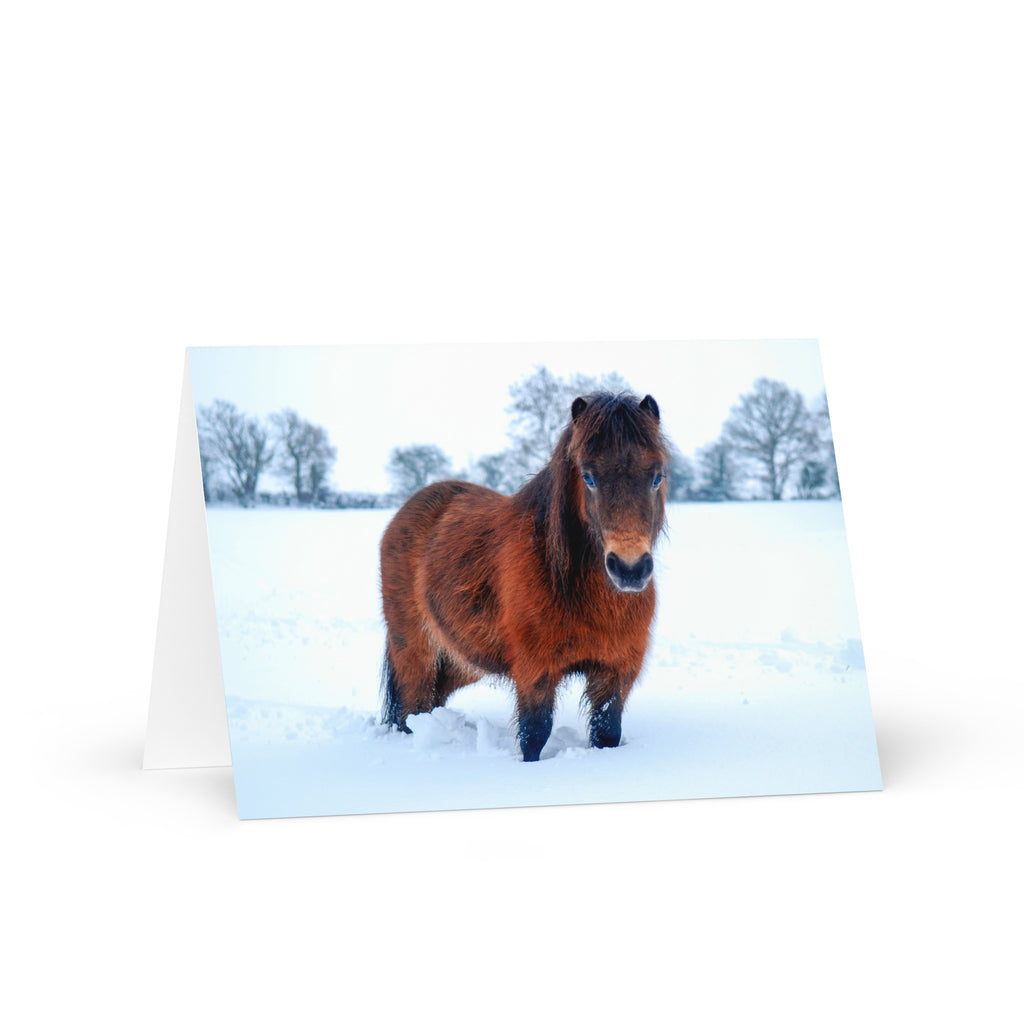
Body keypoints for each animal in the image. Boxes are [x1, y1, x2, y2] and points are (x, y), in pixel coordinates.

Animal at [379, 391, 669, 761]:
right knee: (411, 711)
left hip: (463, 660)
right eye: (588, 477)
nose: (630, 569)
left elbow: (606, 733)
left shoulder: (616, 672)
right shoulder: (535, 671)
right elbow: (534, 734)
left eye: (656, 477)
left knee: (434, 701)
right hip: (416, 651)